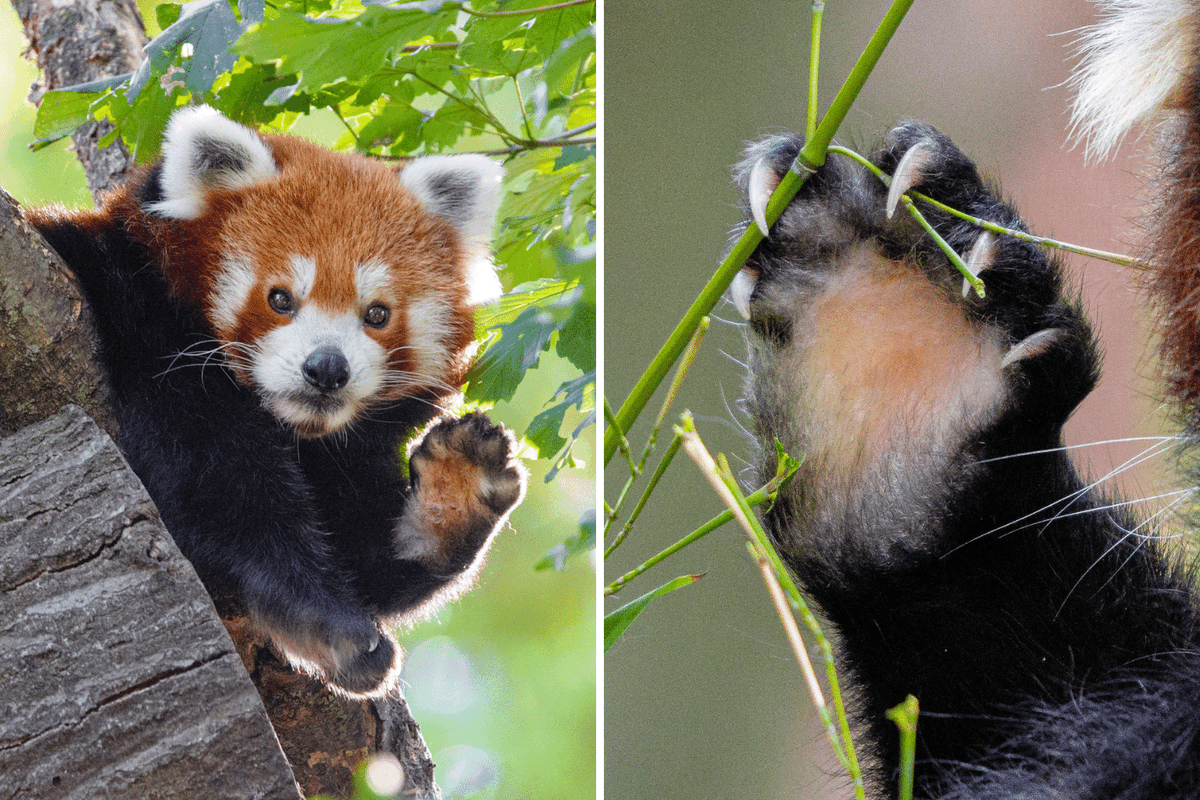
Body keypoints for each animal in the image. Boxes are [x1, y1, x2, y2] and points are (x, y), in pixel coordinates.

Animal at [27, 104, 525, 695]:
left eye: (377, 314)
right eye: (281, 299)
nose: (327, 369)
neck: (295, 428)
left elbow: (362, 553)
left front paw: (455, 495)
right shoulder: (149, 335)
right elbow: (225, 490)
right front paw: (326, 624)